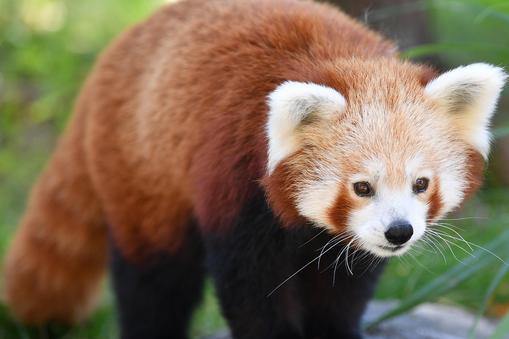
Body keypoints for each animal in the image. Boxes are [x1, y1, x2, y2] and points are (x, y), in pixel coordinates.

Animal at [2, 0, 504, 338]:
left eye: (421, 184)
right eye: (362, 187)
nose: (399, 232)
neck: (342, 64)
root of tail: (110, 62)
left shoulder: (350, 243)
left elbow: (344, 285)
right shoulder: (236, 183)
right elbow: (249, 287)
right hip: (144, 167)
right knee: (154, 279)